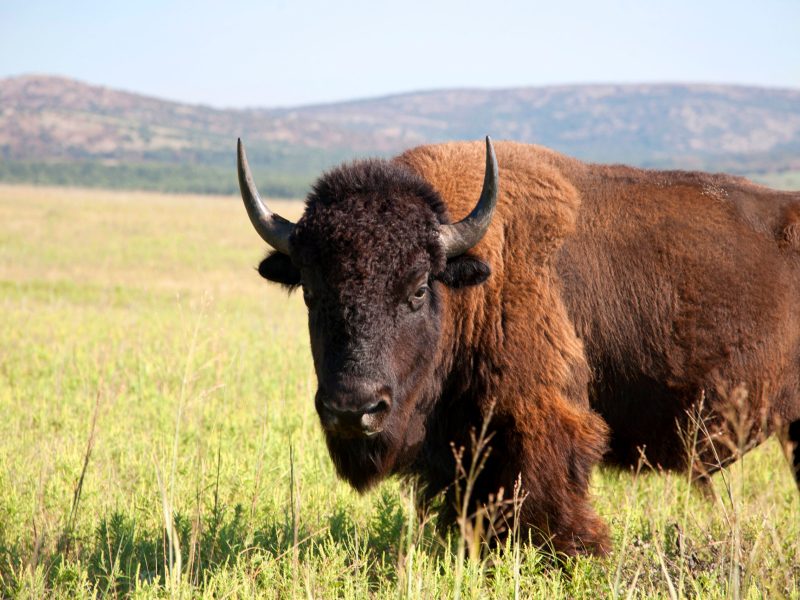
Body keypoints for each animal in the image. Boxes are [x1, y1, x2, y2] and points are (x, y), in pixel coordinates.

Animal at [237, 137, 800, 556]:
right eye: (310, 291)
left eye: (418, 288)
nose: (353, 410)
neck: (472, 280)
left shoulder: (539, 418)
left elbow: (546, 499)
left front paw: (579, 552)